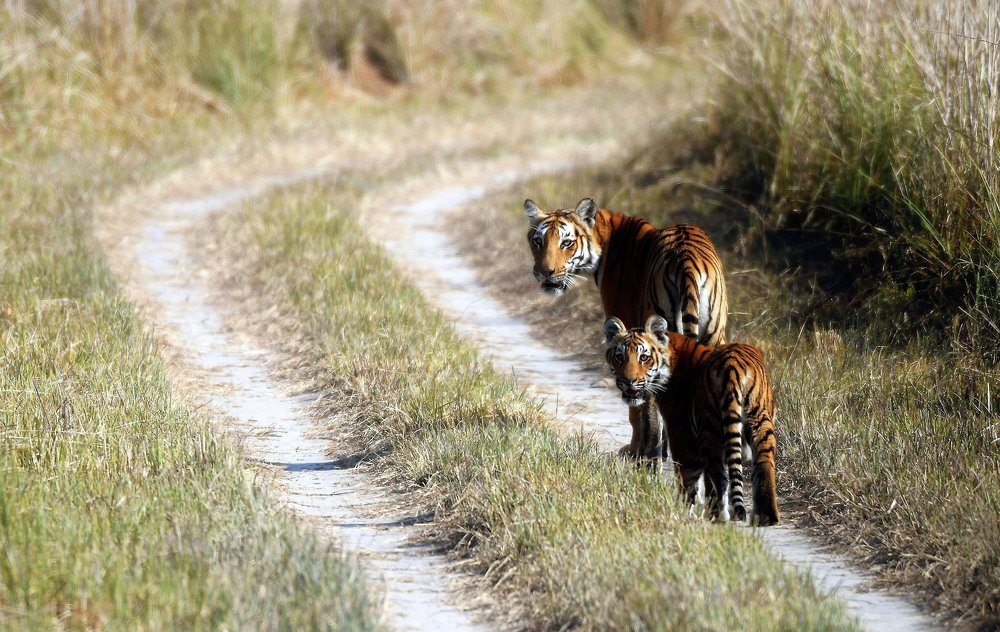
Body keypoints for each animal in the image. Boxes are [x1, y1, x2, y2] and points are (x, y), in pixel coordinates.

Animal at [524, 197, 729, 460]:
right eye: (538, 241)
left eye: (567, 243)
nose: (545, 273)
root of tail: (687, 262)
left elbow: (636, 409)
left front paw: (632, 450)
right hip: (714, 336)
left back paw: (649, 455)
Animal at [603, 314, 780, 526]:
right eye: (619, 357)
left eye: (643, 357)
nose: (628, 381)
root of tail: (732, 366)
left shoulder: (681, 431)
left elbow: (688, 476)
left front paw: (682, 510)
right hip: (760, 422)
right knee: (764, 464)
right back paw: (766, 517)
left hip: (712, 427)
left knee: (717, 474)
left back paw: (717, 516)